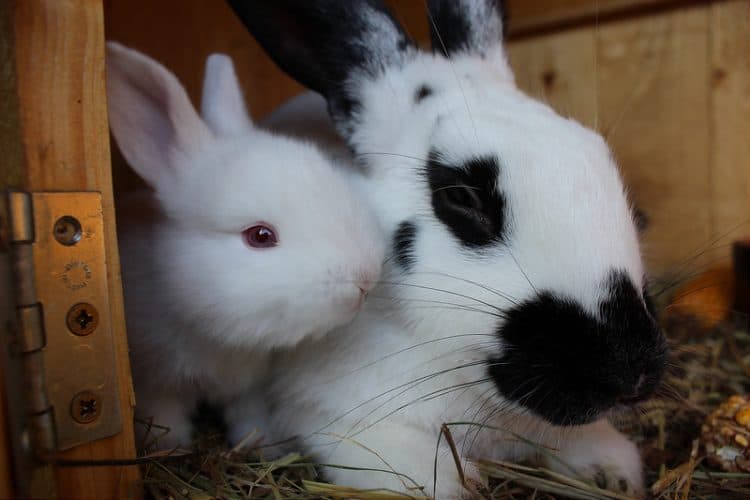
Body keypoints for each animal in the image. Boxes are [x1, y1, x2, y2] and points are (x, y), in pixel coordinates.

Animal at [106, 42, 384, 449]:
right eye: (260, 236)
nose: (366, 278)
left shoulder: (250, 387)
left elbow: (249, 417)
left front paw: (262, 443)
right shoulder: (154, 380)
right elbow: (165, 416)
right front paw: (171, 447)